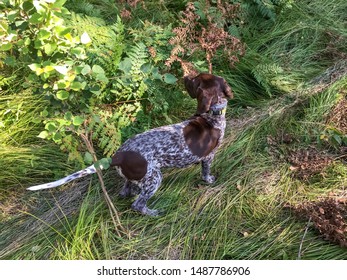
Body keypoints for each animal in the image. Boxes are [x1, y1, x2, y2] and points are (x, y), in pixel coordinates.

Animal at [27, 73, 234, 215]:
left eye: (194, 80)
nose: (184, 76)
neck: (211, 116)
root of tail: (118, 155)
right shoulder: (209, 156)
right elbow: (205, 172)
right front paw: (209, 180)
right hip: (154, 178)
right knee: (138, 204)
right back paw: (153, 212)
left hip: (136, 178)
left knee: (126, 191)